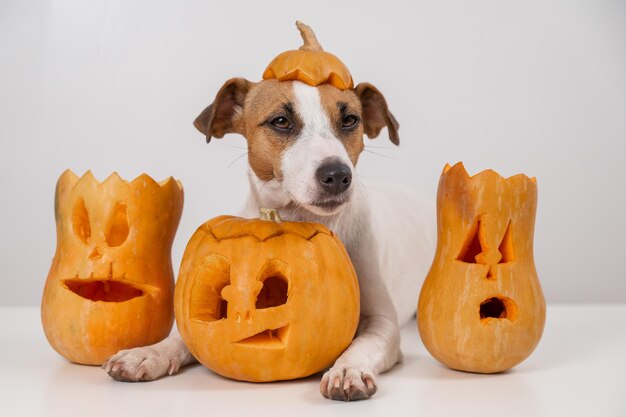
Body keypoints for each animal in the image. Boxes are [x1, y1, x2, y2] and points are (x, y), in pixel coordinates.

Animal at [102, 77, 434, 400]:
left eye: (351, 120)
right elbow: (187, 335)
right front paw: (148, 353)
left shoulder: (383, 323)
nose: (338, 175)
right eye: (281, 121)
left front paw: (347, 369)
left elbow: (362, 345)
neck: (295, 217)